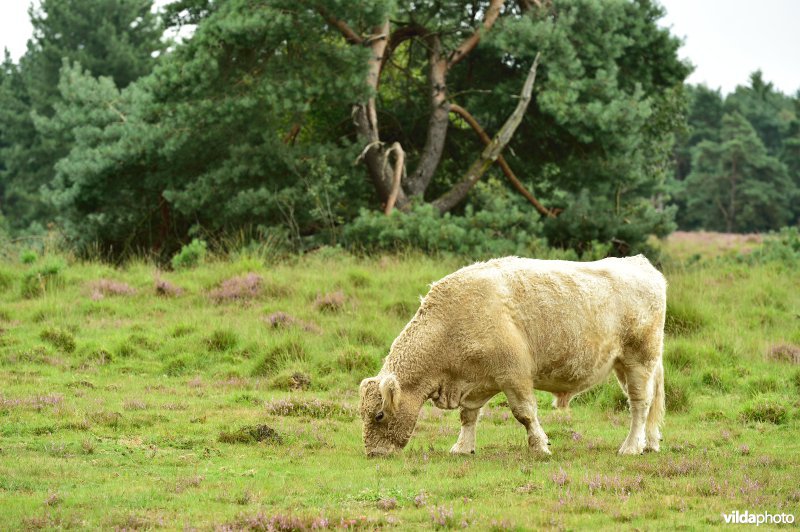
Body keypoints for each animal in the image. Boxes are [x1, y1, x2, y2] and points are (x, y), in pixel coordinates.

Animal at [360, 256, 664, 456]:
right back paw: (650, 443)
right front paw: (463, 447)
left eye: (379, 415)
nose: (374, 453)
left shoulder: (514, 376)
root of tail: (640, 264)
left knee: (640, 404)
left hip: (639, 361)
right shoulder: (476, 382)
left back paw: (631, 447)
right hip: (624, 365)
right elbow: (468, 416)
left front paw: (540, 447)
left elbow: (525, 413)